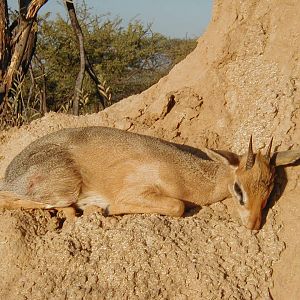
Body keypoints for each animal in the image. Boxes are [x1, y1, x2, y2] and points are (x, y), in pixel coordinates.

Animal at [0, 126, 298, 230]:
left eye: (269, 190)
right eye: (238, 188)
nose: (254, 225)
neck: (186, 176)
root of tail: (11, 171)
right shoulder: (137, 191)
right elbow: (177, 206)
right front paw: (106, 208)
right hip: (65, 187)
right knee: (9, 199)